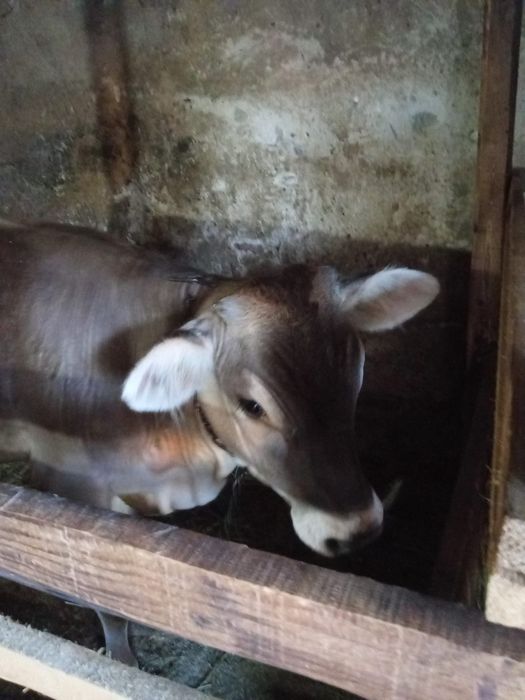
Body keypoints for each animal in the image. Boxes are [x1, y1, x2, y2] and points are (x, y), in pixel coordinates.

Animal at [0, 221, 439, 664]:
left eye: (356, 372)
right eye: (252, 405)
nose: (357, 529)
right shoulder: (70, 490)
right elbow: (104, 596)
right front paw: (123, 657)